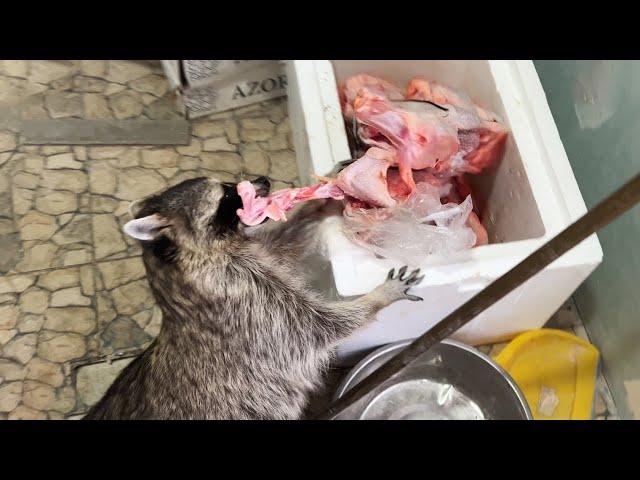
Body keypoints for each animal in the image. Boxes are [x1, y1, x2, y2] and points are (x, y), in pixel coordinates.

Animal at [85, 176, 424, 420]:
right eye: (225, 195)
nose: (263, 180)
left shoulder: (251, 262)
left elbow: (284, 244)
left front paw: (321, 201)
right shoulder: (249, 306)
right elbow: (321, 327)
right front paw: (377, 297)